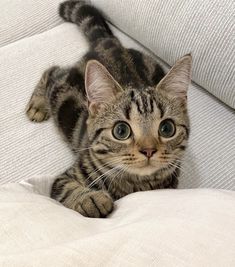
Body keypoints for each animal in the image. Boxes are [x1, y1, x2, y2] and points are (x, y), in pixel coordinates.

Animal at [26, 0, 191, 219]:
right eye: (121, 131)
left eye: (167, 129)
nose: (148, 150)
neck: (135, 184)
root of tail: (110, 43)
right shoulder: (65, 177)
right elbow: (69, 188)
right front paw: (90, 199)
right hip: (61, 94)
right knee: (52, 70)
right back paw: (37, 104)